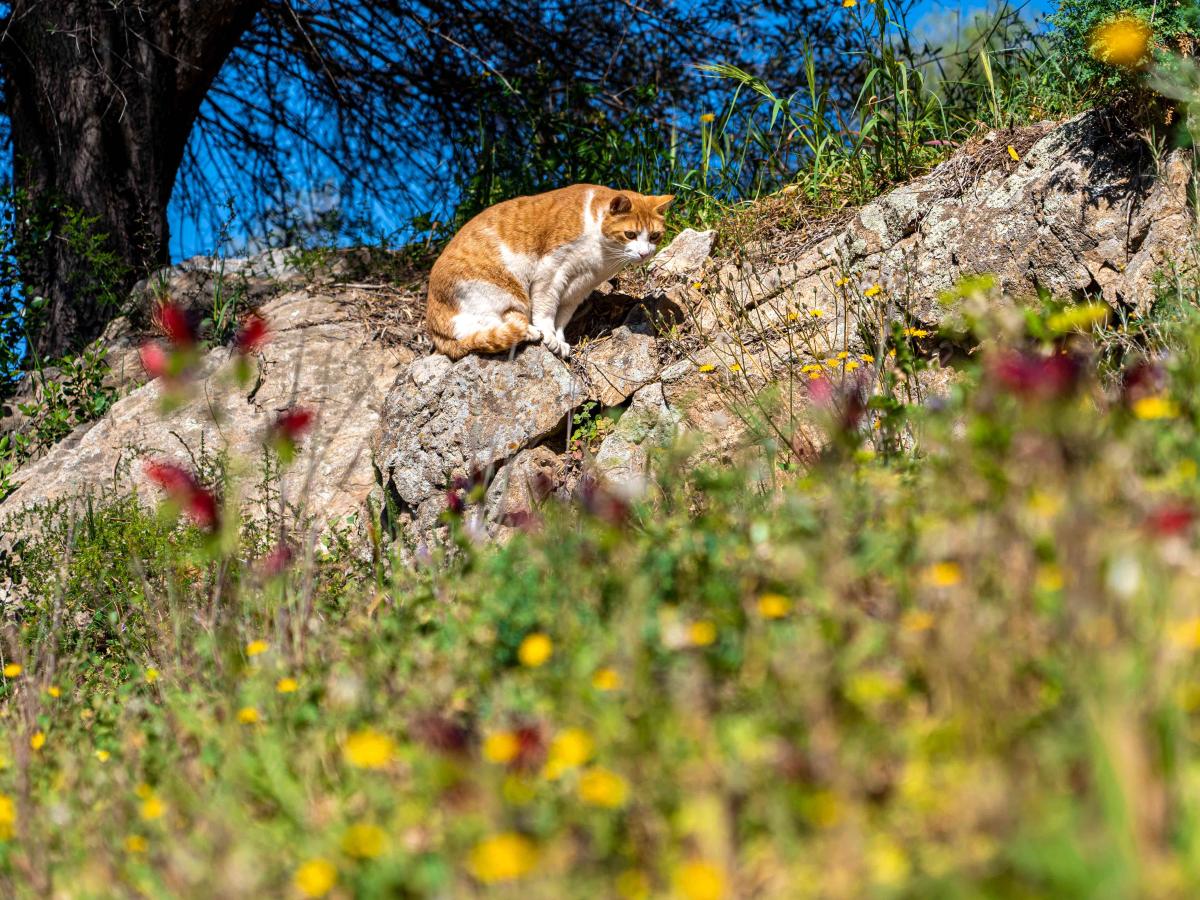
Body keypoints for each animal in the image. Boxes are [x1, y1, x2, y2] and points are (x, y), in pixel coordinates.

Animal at [424, 184, 672, 362]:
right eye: (630, 234)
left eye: (654, 236)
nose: (644, 254)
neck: (602, 257)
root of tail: (434, 329)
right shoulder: (552, 272)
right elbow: (546, 310)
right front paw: (549, 336)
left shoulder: (579, 288)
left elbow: (562, 317)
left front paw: (560, 339)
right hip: (500, 292)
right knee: (479, 330)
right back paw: (529, 331)